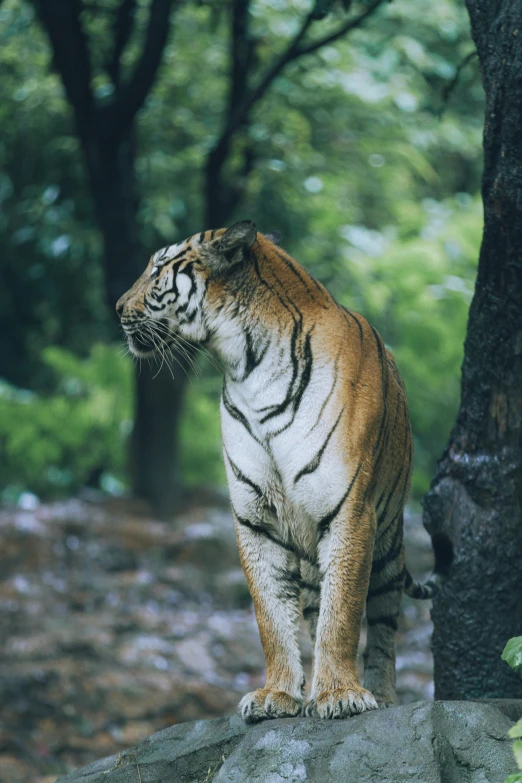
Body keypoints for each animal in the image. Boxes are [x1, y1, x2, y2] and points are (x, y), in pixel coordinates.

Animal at [117, 220, 434, 724]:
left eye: (158, 268)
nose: (117, 308)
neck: (246, 368)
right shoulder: (255, 519)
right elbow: (271, 616)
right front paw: (279, 694)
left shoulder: (349, 511)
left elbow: (343, 614)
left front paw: (339, 695)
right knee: (313, 609)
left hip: (388, 542)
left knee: (384, 624)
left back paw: (382, 696)